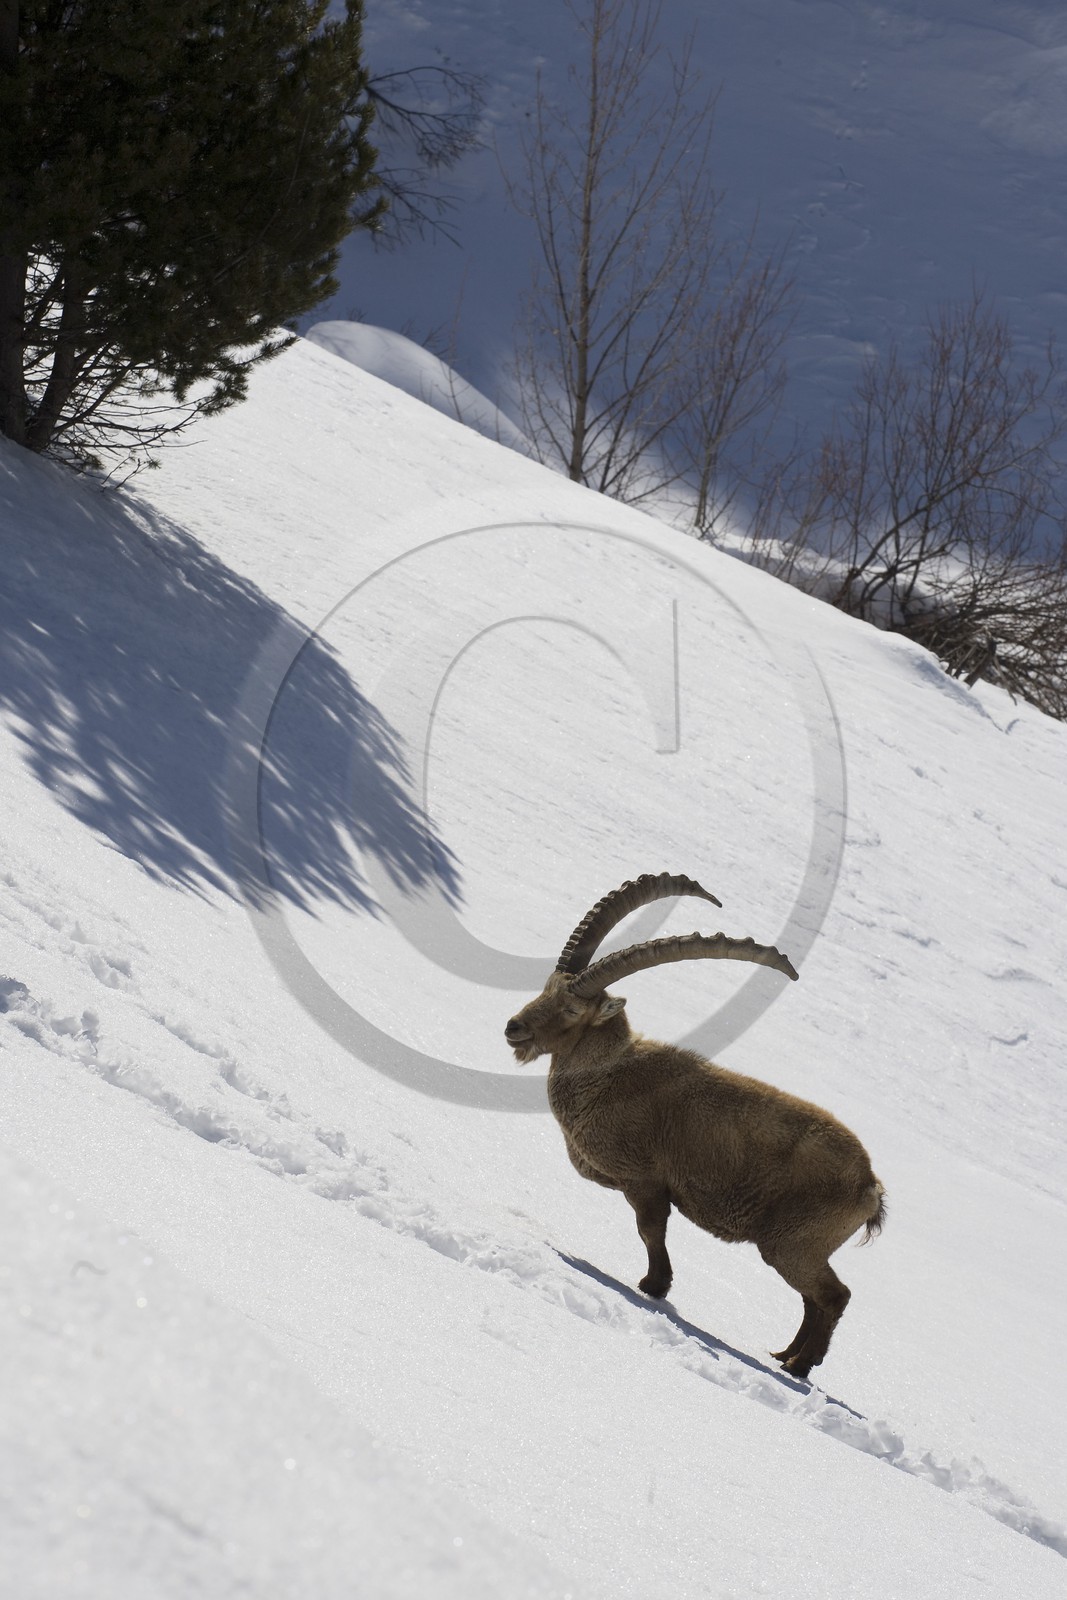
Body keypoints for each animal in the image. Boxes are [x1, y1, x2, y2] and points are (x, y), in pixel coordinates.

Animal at [505, 874, 885, 1380]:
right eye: (547, 988)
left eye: (570, 1011)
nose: (514, 1027)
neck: (607, 1076)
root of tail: (870, 1187)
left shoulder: (645, 1179)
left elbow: (650, 1231)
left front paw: (653, 1286)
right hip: (803, 1247)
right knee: (814, 1300)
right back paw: (785, 1356)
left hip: (793, 1243)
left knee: (833, 1296)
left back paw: (801, 1367)